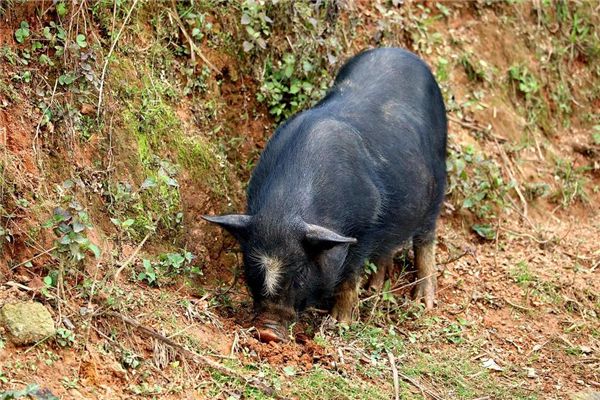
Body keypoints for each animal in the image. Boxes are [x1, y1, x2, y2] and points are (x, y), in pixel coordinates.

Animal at [205, 47, 446, 340]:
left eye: (300, 273)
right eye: (253, 270)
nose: (267, 332)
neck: (285, 209)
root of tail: (402, 51)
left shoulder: (367, 223)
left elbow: (349, 274)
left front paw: (340, 323)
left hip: (437, 184)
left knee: (426, 238)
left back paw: (423, 301)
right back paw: (375, 288)